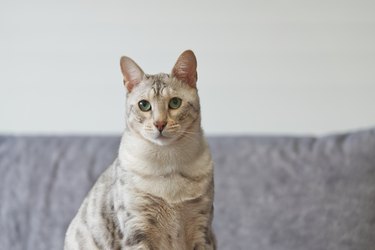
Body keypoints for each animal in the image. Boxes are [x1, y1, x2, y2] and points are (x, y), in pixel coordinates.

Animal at [64, 49, 216, 249]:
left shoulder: (202, 227)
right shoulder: (137, 229)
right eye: (144, 105)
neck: (168, 162)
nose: (160, 124)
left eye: (175, 103)